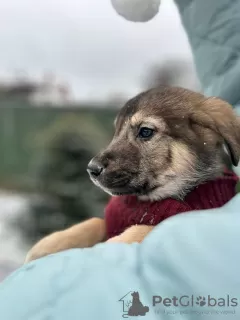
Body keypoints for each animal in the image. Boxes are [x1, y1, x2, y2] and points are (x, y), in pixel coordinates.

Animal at [25, 85, 240, 262]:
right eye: (117, 131)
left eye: (145, 131)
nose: (91, 168)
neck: (146, 201)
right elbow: (95, 222)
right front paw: (48, 244)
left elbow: (145, 228)